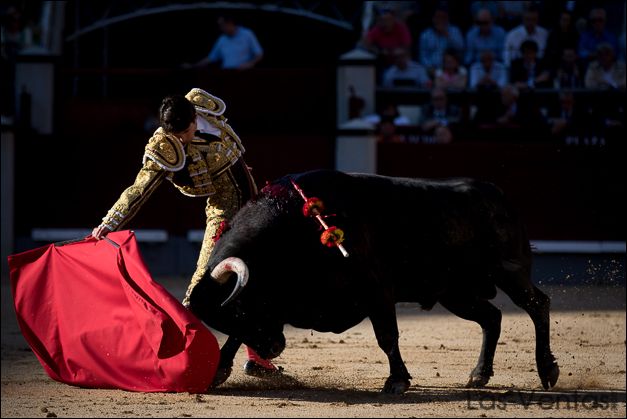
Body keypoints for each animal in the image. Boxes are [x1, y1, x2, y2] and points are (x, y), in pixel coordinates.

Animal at [189, 170, 560, 394]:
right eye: (227, 317)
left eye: (240, 309)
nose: (272, 349)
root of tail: (498, 195)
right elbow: (234, 339)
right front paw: (218, 370)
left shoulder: (377, 291)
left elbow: (386, 336)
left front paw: (396, 381)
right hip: (455, 293)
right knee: (492, 318)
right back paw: (478, 375)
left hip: (508, 272)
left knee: (536, 305)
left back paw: (547, 372)